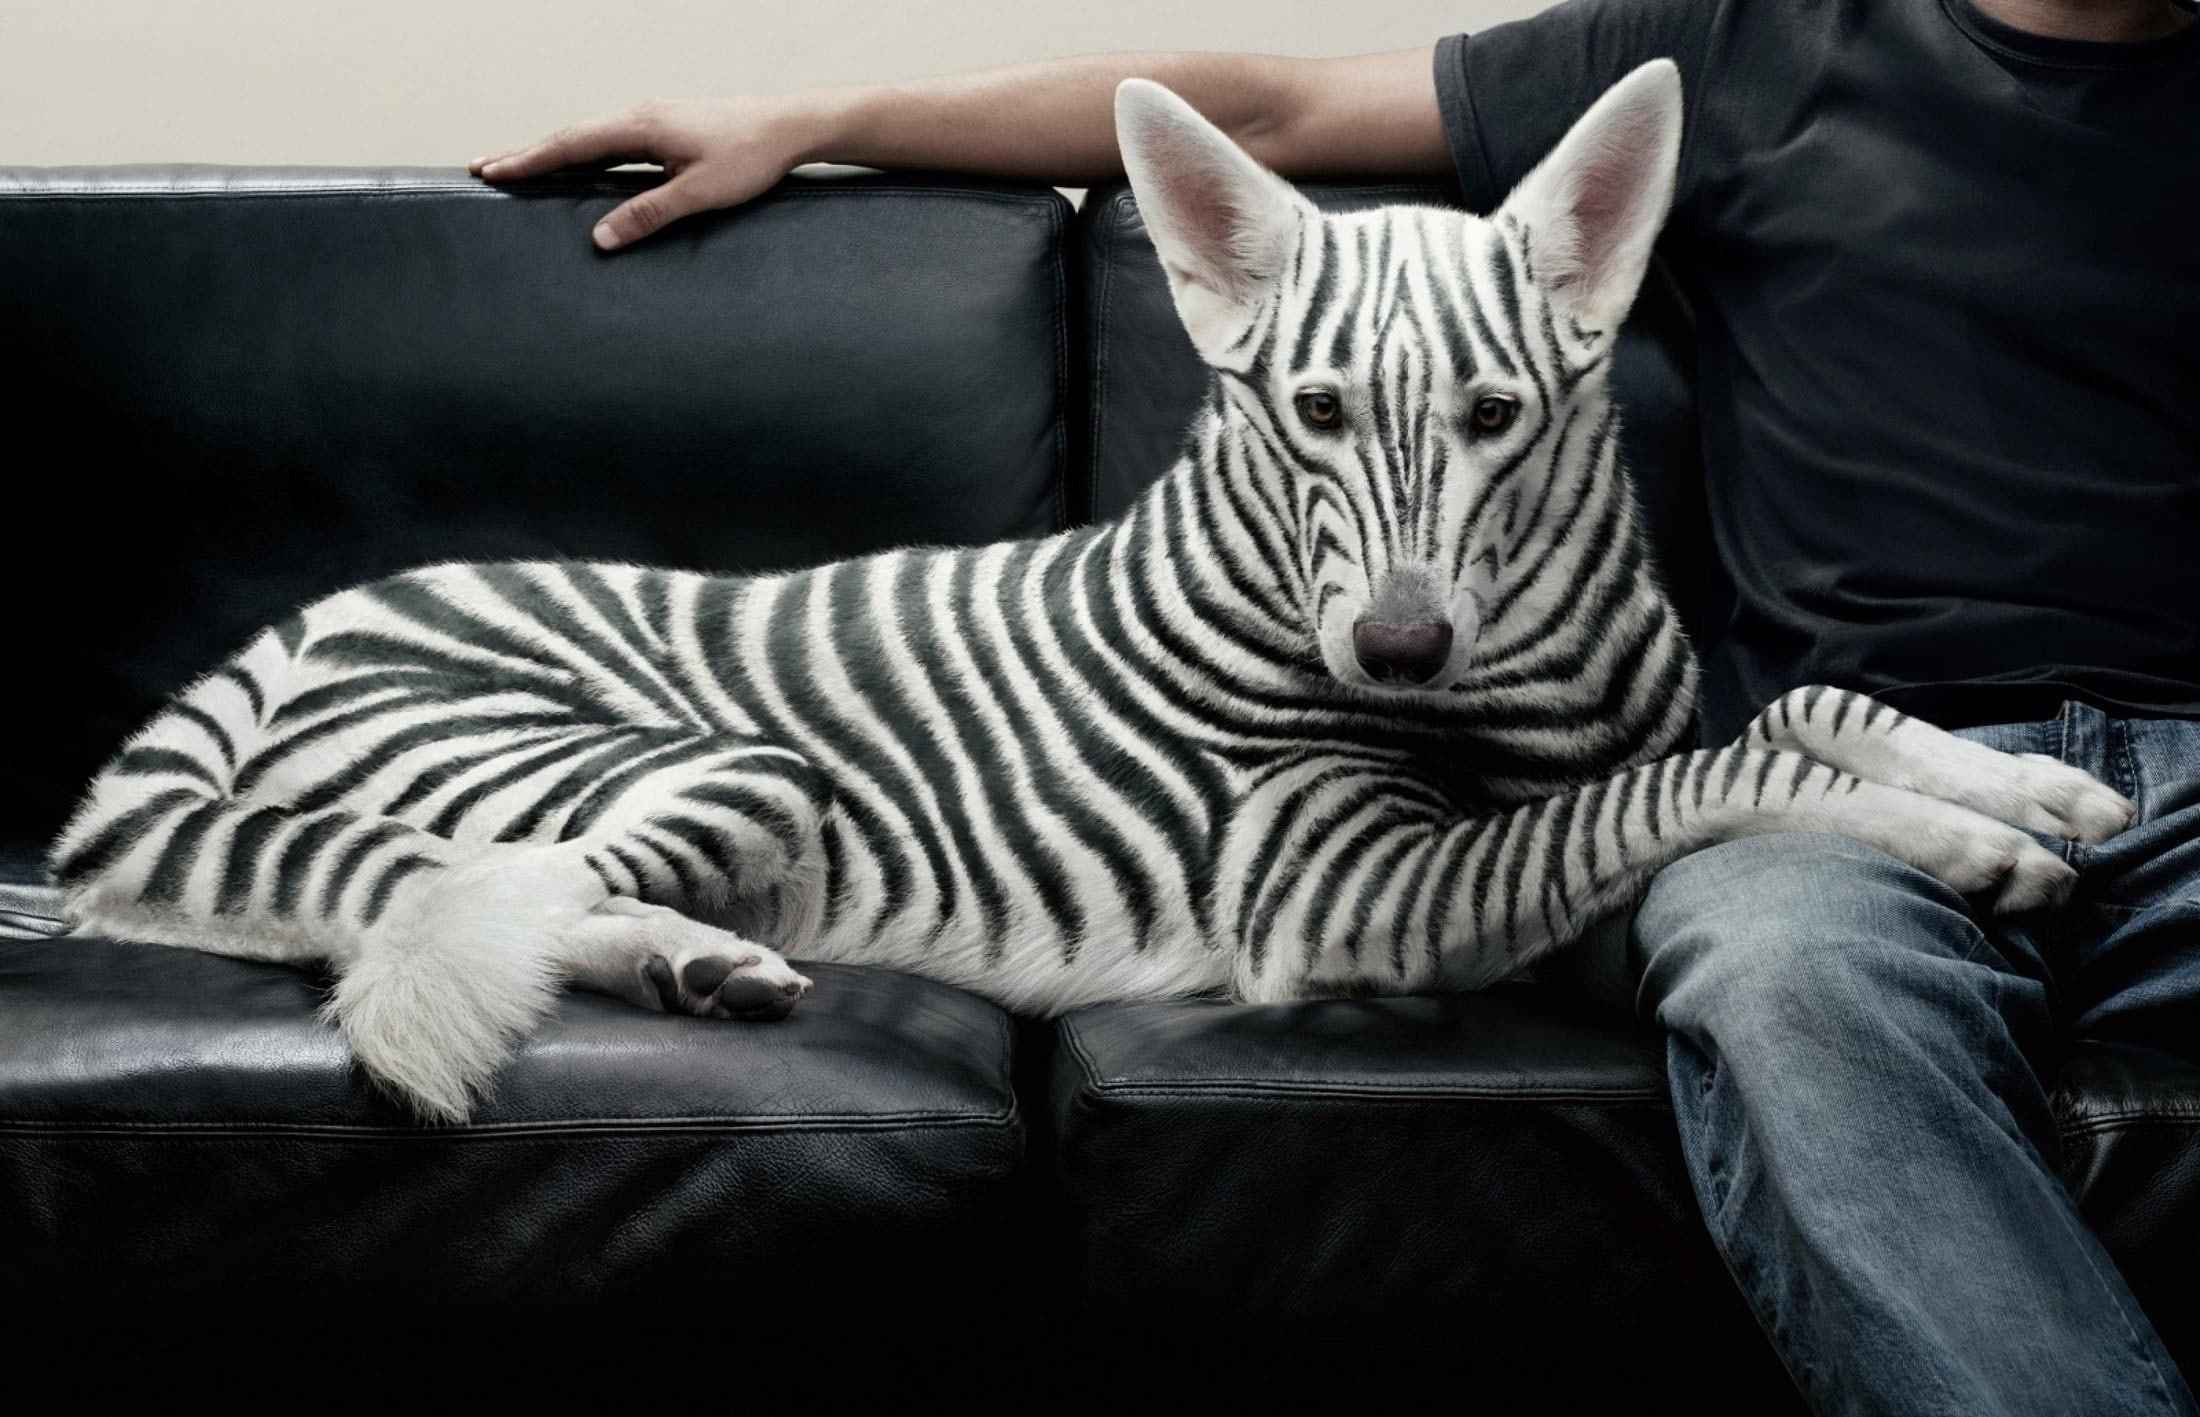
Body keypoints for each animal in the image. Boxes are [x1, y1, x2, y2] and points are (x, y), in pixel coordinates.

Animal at [50, 63, 2134, 1123]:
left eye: (1492, 415)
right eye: (1311, 410)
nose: (1394, 646)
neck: (1524, 686)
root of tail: (296, 628)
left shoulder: (1624, 722)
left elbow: (1792, 708)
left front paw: (2022, 778)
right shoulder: (1346, 895)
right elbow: (1717, 776)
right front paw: (1966, 840)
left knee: (458, 894)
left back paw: (699, 968)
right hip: (705, 764)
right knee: (407, 893)